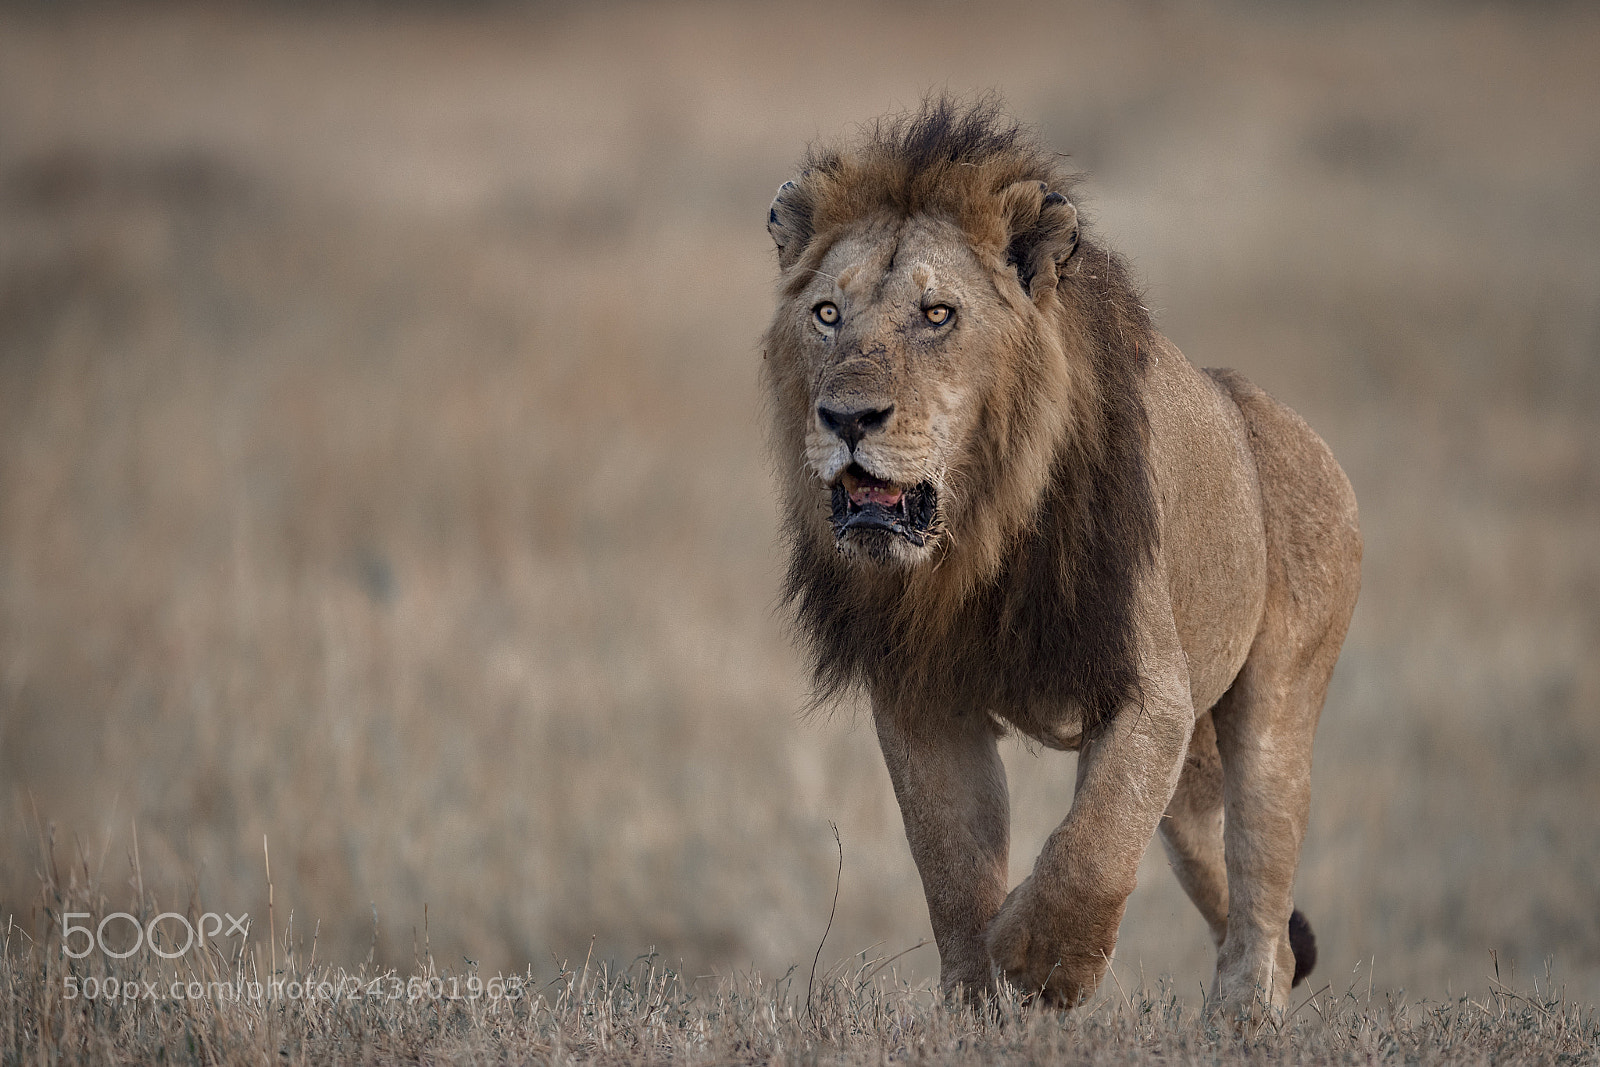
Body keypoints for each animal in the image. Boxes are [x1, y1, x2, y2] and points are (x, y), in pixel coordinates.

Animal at [761, 98, 1360, 1015]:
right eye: (828, 313)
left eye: (938, 315)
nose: (847, 417)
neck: (974, 534)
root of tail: (1281, 420)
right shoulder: (922, 697)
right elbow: (952, 865)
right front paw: (975, 1004)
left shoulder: (1149, 690)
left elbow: (1096, 844)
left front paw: (1040, 964)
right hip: (1192, 780)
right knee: (1221, 868)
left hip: (1277, 704)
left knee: (1262, 878)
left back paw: (1242, 1015)